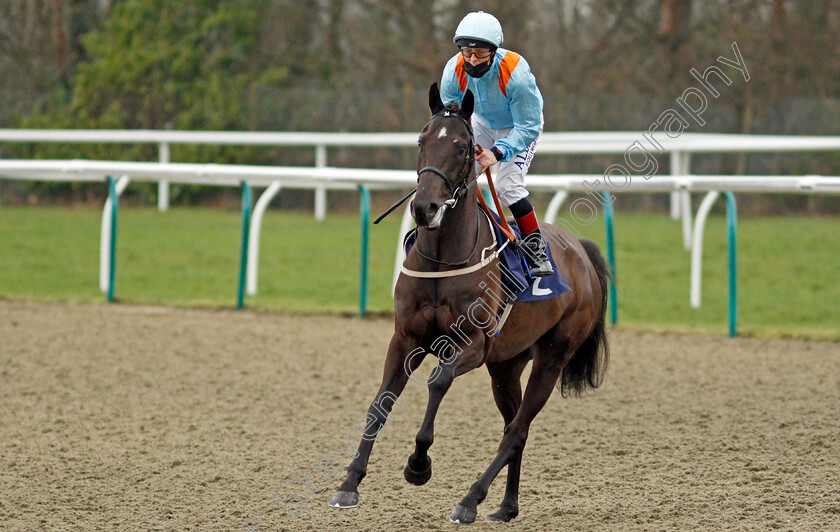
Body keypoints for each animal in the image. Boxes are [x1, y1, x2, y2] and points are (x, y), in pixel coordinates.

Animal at [328, 84, 612, 524]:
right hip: (507, 365)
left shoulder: (473, 345)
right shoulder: (405, 338)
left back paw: (470, 500)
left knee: (517, 429)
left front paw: (418, 464)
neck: (443, 258)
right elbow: (381, 402)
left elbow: (437, 381)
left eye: (462, 147)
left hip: (552, 356)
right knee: (515, 425)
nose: (423, 207)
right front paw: (350, 482)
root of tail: (580, 251)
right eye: (421, 140)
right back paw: (506, 506)